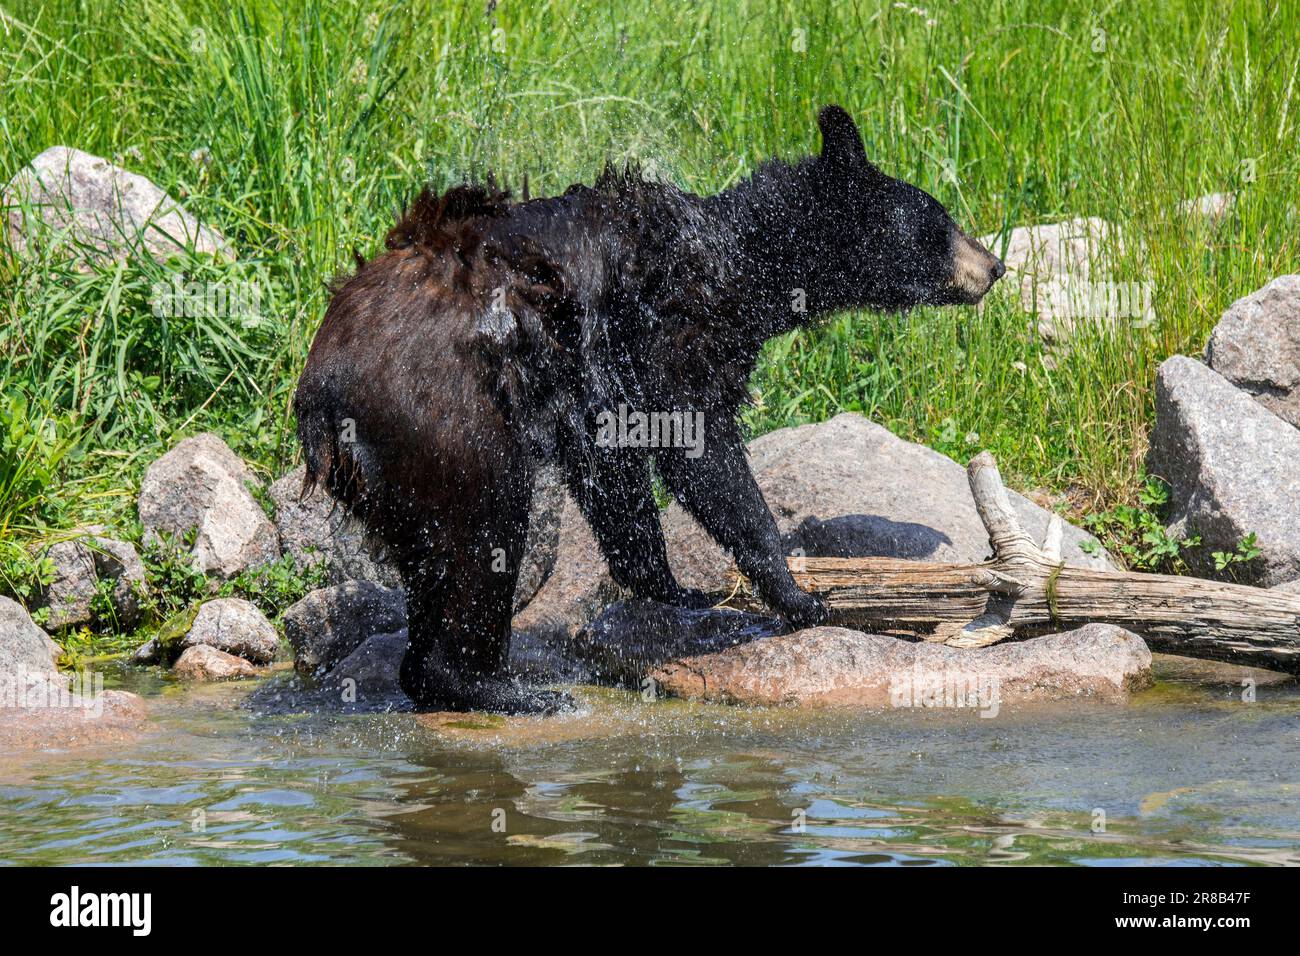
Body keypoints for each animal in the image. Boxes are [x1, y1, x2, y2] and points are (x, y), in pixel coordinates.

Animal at [297, 108, 1003, 712]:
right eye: (941, 221)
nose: (994, 265)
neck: (743, 260)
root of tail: (323, 398)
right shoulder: (671, 330)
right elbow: (698, 448)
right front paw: (801, 596)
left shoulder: (598, 381)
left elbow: (613, 473)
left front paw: (676, 588)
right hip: (448, 419)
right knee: (485, 531)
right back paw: (503, 689)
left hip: (397, 475)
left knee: (432, 559)